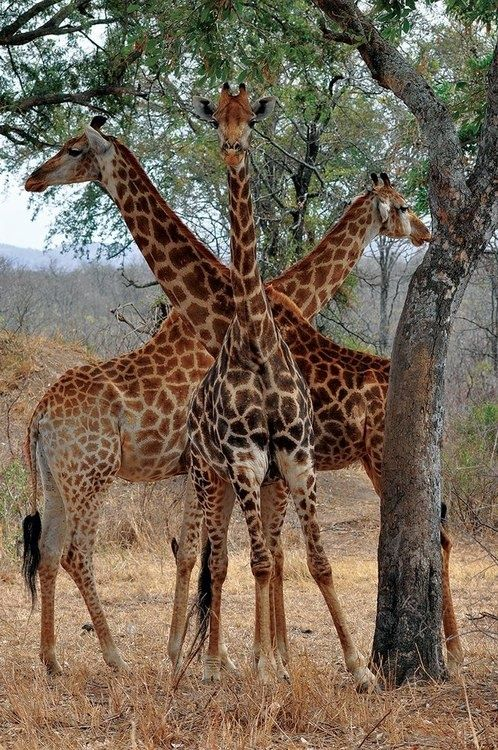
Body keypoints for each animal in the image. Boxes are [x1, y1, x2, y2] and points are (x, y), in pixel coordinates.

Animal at [186, 82, 377, 688]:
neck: (255, 337)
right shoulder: (246, 459)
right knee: (220, 560)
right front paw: (264, 669)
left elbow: (317, 561)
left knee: (247, 558)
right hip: (210, 477)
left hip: (252, 482)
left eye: (250, 119)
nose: (232, 149)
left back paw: (254, 658)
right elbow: (258, 562)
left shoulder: (294, 456)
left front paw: (357, 667)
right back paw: (217, 664)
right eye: (216, 119)